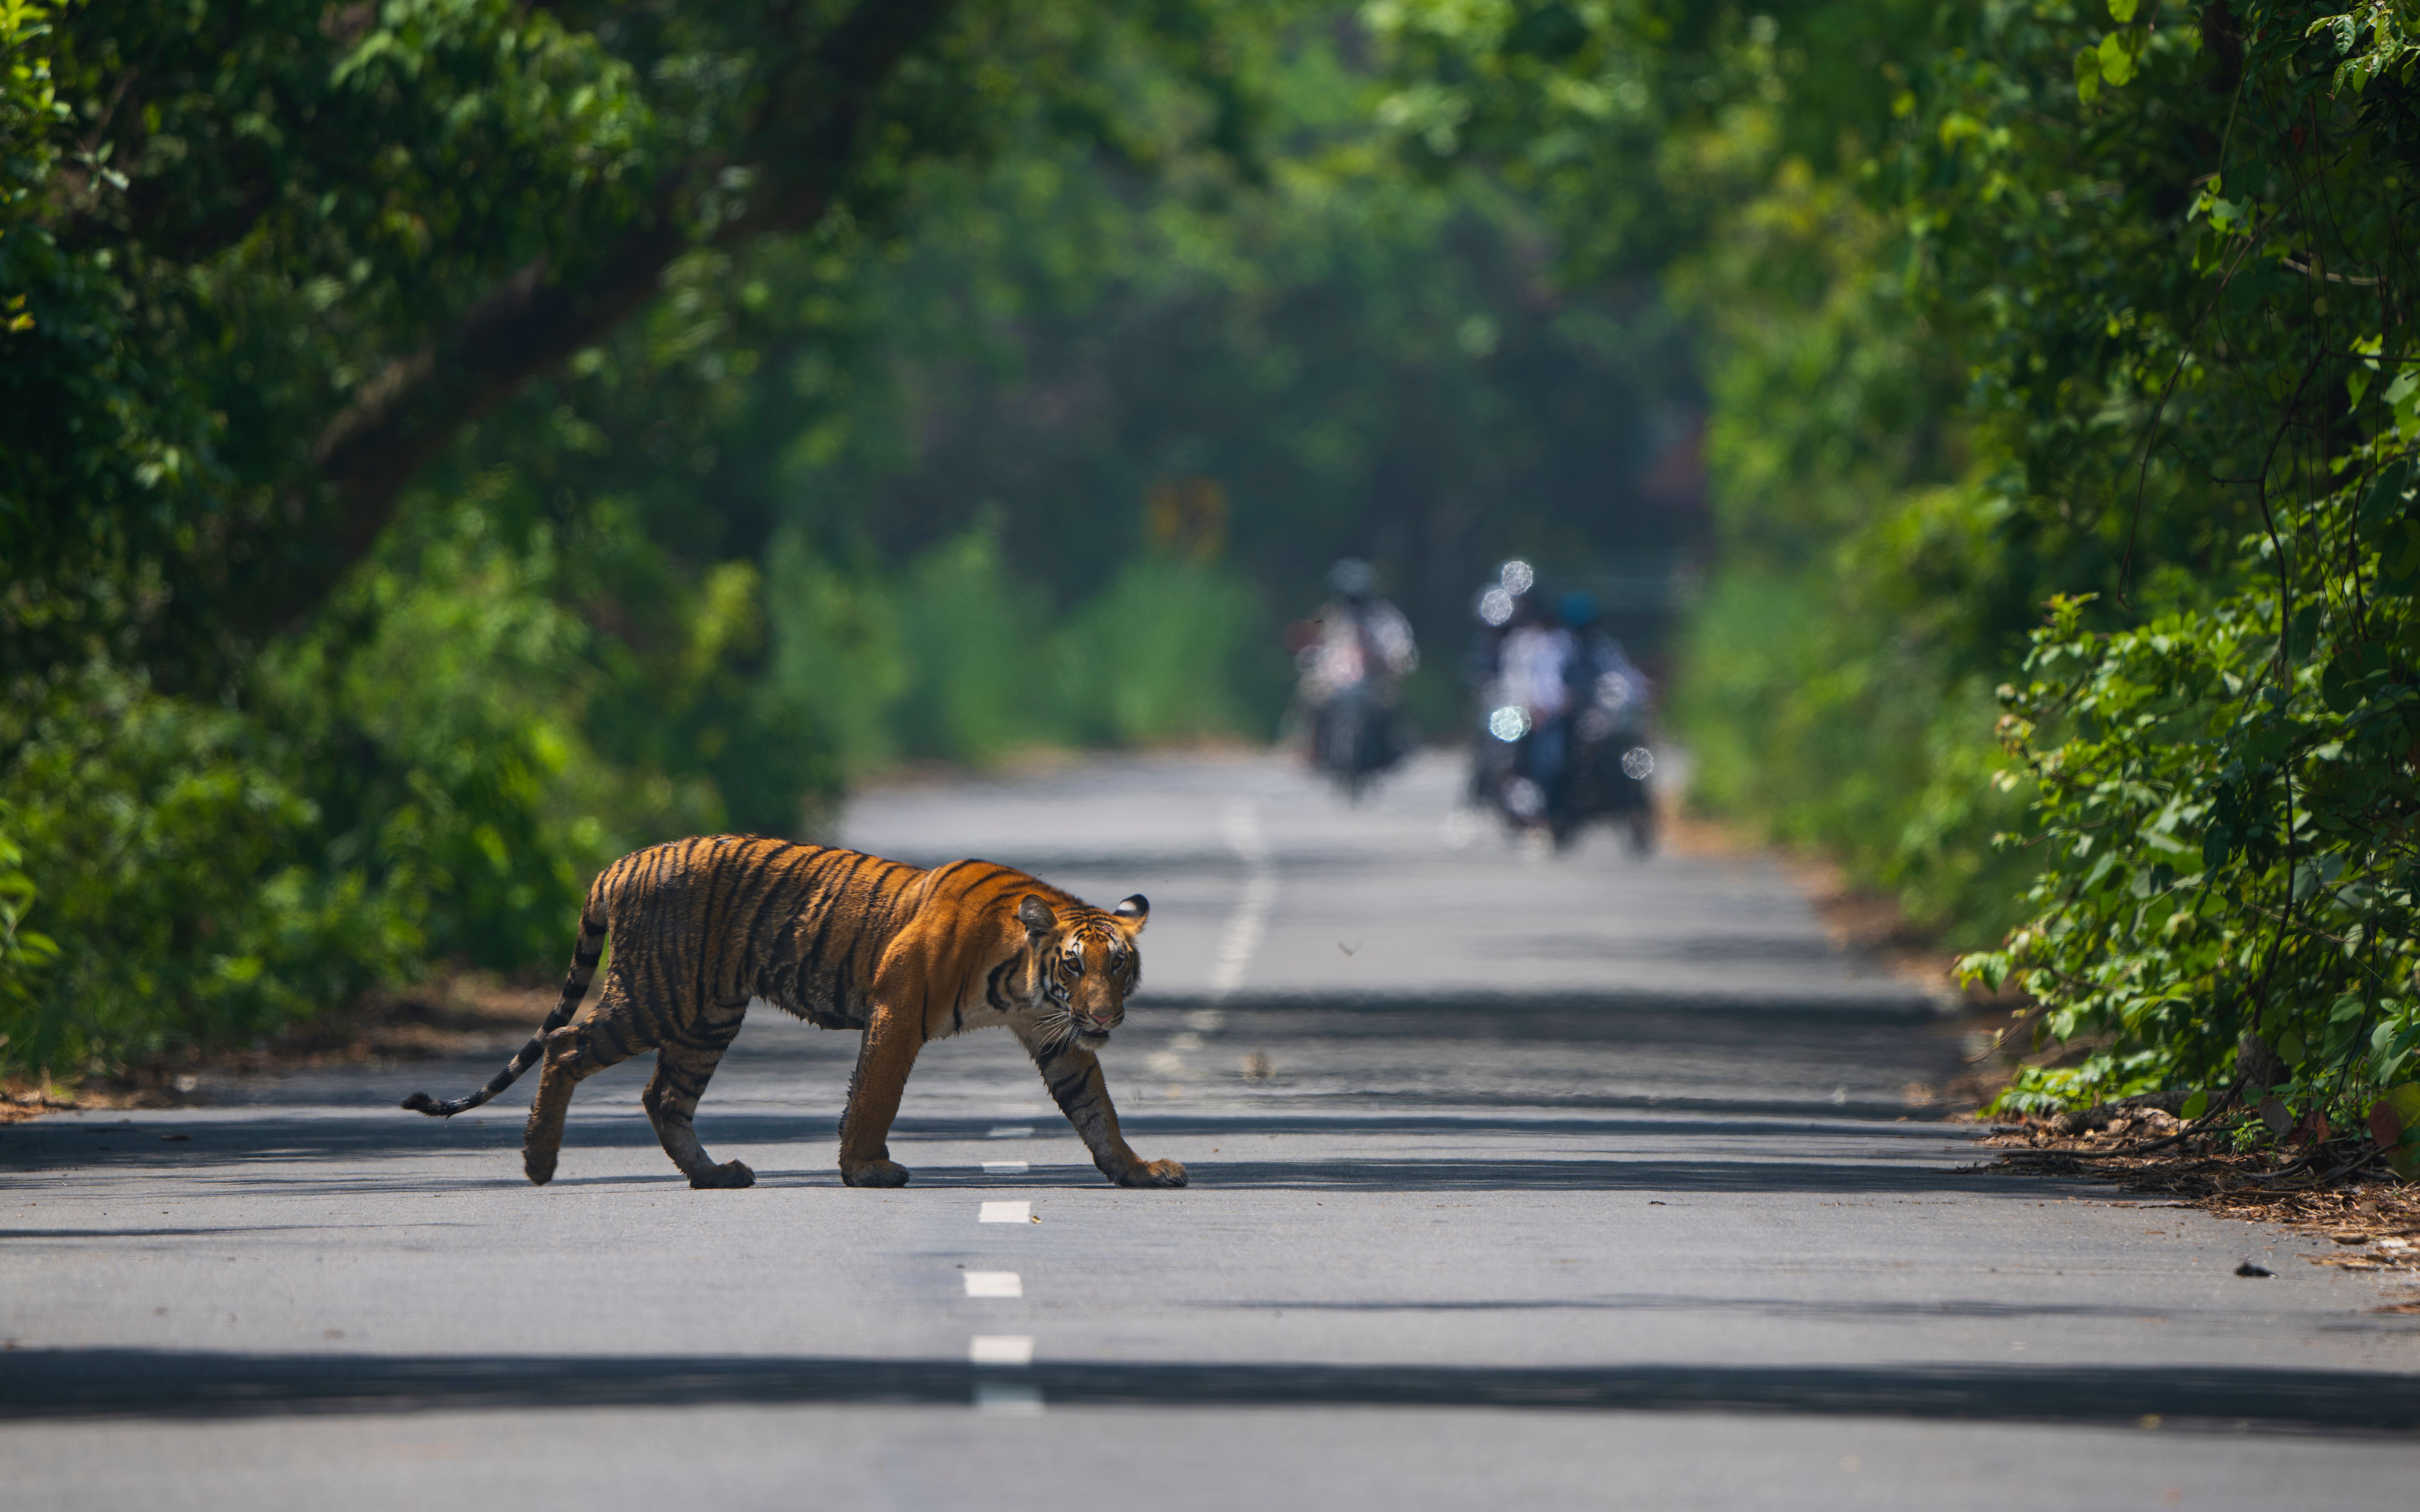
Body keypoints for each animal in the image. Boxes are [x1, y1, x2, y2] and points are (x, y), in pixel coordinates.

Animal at [400, 835, 1185, 1192]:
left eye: (1119, 966)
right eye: (1074, 966)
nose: (1105, 1019)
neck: (1024, 978)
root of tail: (615, 865)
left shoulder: (1056, 1037)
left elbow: (1096, 1108)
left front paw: (1138, 1169)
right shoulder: (898, 1010)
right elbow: (875, 1095)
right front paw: (866, 1169)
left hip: (709, 1015)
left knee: (664, 1096)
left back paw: (714, 1174)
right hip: (658, 998)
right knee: (565, 1044)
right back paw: (538, 1161)